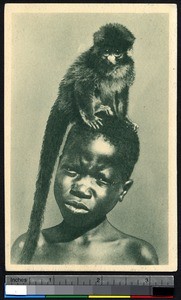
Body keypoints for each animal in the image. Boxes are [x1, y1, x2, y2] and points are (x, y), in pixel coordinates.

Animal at [18, 22, 137, 262]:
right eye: (105, 51)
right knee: (82, 89)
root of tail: (60, 102)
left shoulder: (128, 68)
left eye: (117, 52)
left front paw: (124, 119)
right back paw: (98, 109)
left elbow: (122, 90)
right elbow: (82, 85)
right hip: (70, 102)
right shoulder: (90, 67)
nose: (110, 58)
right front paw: (90, 116)